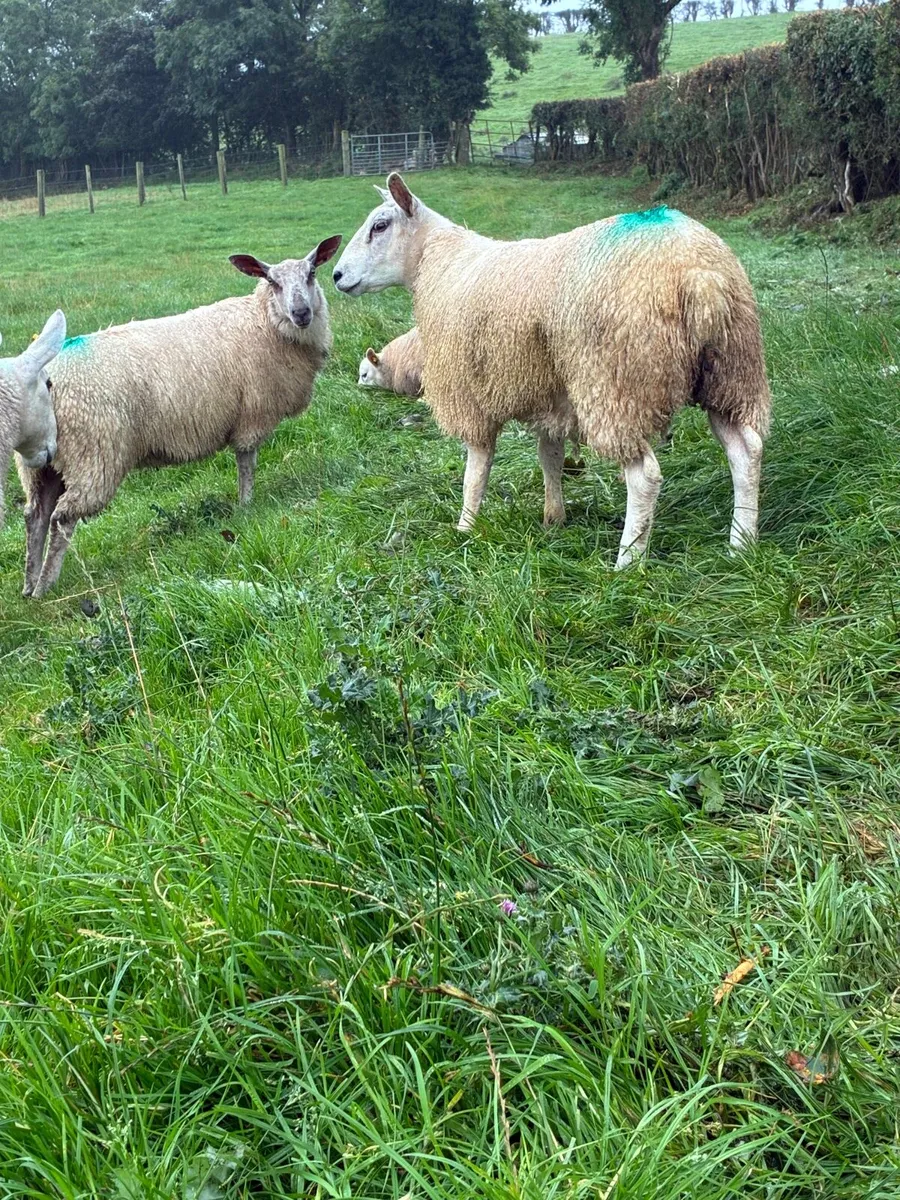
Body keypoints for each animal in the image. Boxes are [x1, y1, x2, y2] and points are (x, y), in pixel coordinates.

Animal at [19, 237, 342, 598]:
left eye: (312, 273)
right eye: (273, 282)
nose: (301, 313)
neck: (264, 321)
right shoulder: (252, 416)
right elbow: (247, 463)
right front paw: (246, 506)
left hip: (42, 465)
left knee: (35, 516)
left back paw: (29, 585)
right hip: (94, 455)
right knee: (61, 518)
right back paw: (46, 586)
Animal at [333, 174, 770, 567]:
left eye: (380, 225)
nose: (336, 276)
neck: (439, 264)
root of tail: (698, 276)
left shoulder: (471, 394)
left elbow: (476, 469)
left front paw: (465, 528)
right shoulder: (549, 392)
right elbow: (550, 456)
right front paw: (553, 518)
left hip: (615, 383)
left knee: (645, 476)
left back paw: (628, 562)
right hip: (731, 371)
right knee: (746, 450)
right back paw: (742, 544)